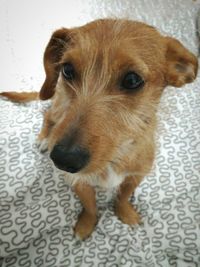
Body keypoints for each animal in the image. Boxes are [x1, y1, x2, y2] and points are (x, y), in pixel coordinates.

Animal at [0, 18, 198, 241]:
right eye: (67, 69)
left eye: (132, 80)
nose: (63, 160)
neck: (115, 156)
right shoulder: (78, 181)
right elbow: (90, 207)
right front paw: (86, 225)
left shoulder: (135, 176)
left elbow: (122, 197)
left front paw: (125, 213)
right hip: (59, 104)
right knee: (48, 115)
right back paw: (44, 137)